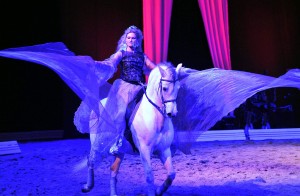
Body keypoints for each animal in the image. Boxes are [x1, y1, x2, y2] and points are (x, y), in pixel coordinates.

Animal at [81, 62, 182, 195]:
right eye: (165, 88)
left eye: (178, 88)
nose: (172, 113)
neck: (155, 118)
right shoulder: (144, 151)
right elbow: (149, 176)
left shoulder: (164, 150)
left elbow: (171, 174)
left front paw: (159, 191)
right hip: (98, 143)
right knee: (91, 159)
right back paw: (88, 186)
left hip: (120, 150)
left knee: (113, 169)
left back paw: (113, 193)